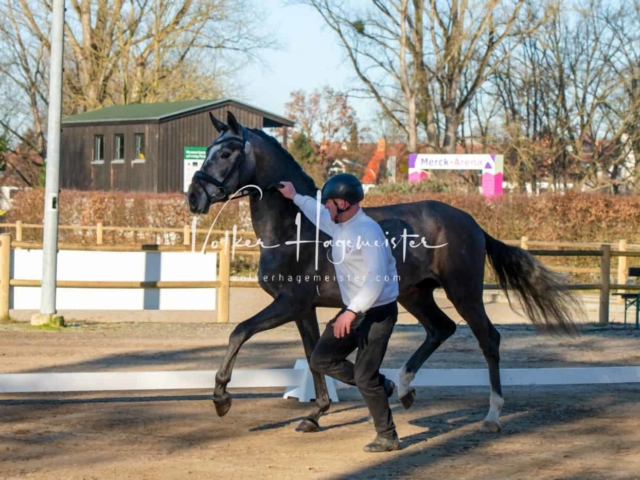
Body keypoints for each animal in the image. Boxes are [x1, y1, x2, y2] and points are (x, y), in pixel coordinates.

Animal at [188, 112, 584, 436]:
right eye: (207, 150)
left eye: (226, 154)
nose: (194, 197)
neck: (296, 227)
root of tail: (471, 222)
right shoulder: (302, 309)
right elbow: (313, 357)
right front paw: (316, 414)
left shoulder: (289, 303)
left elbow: (240, 332)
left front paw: (221, 396)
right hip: (416, 293)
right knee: (441, 328)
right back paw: (404, 387)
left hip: (463, 292)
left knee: (488, 339)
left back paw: (492, 415)